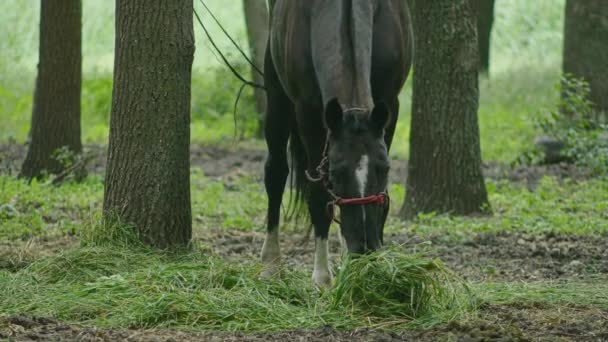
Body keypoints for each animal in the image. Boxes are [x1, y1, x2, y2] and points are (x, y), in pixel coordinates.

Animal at [262, 0, 414, 286]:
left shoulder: (391, 105)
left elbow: (385, 197)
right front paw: (322, 277)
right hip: (276, 93)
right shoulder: (308, 113)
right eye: (336, 172)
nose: (365, 247)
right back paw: (270, 264)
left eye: (385, 169)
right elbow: (318, 193)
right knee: (275, 173)